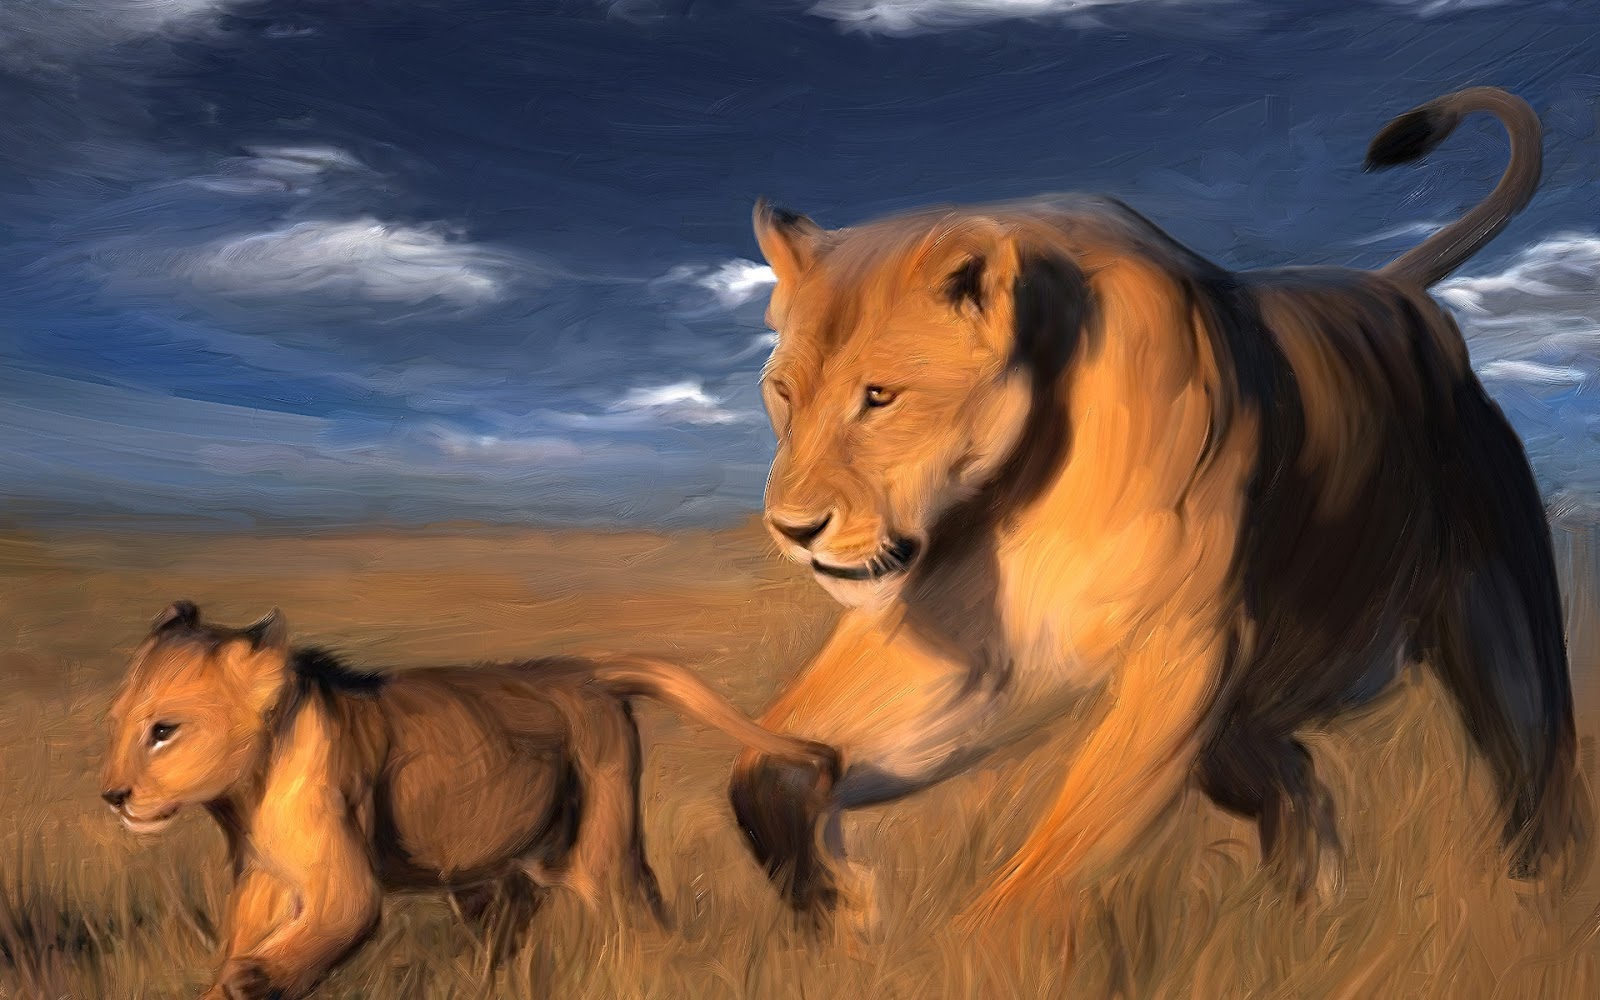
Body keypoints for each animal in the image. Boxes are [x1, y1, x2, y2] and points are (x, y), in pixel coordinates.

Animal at [98, 601, 837, 1000]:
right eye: (117, 725)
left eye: (163, 731)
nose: (112, 794)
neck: (248, 792)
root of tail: (581, 668)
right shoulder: (264, 880)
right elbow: (239, 945)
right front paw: (226, 981)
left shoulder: (344, 890)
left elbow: (319, 934)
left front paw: (257, 979)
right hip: (493, 878)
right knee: (512, 934)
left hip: (600, 853)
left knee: (643, 922)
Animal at [726, 85, 1591, 945]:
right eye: (784, 394)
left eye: (879, 396)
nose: (792, 529)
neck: (1013, 486)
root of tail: (1396, 290)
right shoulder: (969, 652)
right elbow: (763, 766)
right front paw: (842, 907)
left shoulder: (1184, 647)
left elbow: (1050, 867)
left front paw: (955, 951)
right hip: (1250, 714)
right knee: (1299, 782)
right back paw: (1307, 915)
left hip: (1496, 625)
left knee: (1539, 776)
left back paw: (1533, 911)